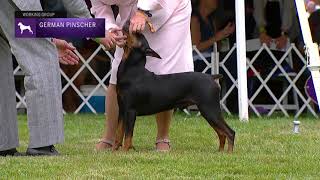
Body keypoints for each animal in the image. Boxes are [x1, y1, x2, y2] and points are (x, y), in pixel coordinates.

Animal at [115, 22, 235, 152]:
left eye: (138, 34)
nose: (128, 22)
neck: (132, 70)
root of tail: (212, 77)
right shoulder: (122, 110)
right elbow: (119, 132)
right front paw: (114, 151)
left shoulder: (131, 111)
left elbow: (128, 135)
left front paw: (125, 152)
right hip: (209, 111)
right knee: (221, 133)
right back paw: (220, 152)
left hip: (209, 109)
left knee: (230, 132)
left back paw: (229, 153)